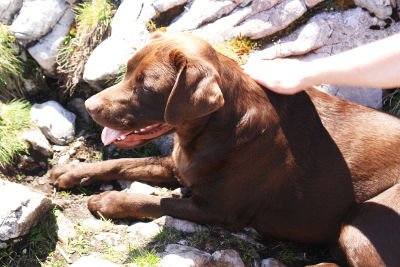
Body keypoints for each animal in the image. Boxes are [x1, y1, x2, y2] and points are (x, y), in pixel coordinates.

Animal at [50, 31, 400, 266]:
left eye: (145, 86)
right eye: (126, 71)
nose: (91, 106)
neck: (213, 130)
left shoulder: (218, 210)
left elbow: (155, 202)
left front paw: (107, 200)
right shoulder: (178, 164)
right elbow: (120, 164)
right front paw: (71, 171)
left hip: (364, 222)